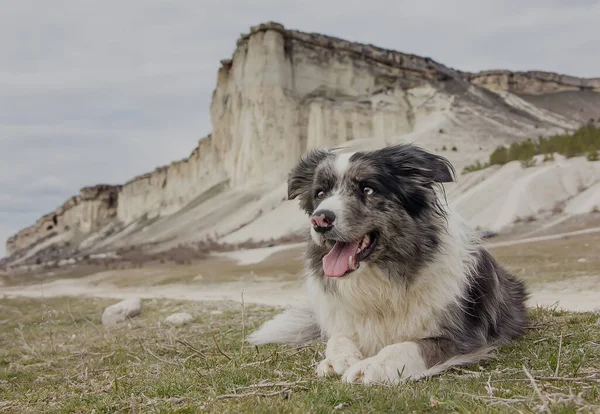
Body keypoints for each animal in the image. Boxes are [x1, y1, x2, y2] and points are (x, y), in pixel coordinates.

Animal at [246, 145, 528, 384]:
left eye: (368, 189)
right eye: (320, 194)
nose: (320, 220)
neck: (380, 282)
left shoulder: (463, 338)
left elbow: (407, 346)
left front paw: (372, 366)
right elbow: (337, 337)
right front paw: (338, 359)